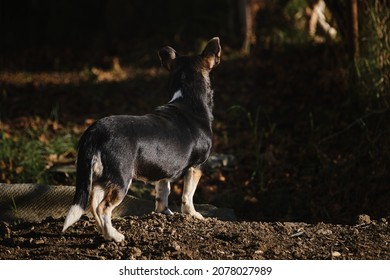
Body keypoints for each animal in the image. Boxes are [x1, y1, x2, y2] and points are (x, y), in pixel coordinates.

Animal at [62, 37, 221, 243]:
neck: (187, 99)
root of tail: (95, 131)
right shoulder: (197, 167)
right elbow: (188, 195)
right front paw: (193, 215)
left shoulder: (163, 171)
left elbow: (163, 193)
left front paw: (164, 213)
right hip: (121, 179)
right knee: (103, 208)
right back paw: (115, 236)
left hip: (101, 177)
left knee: (94, 204)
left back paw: (105, 233)